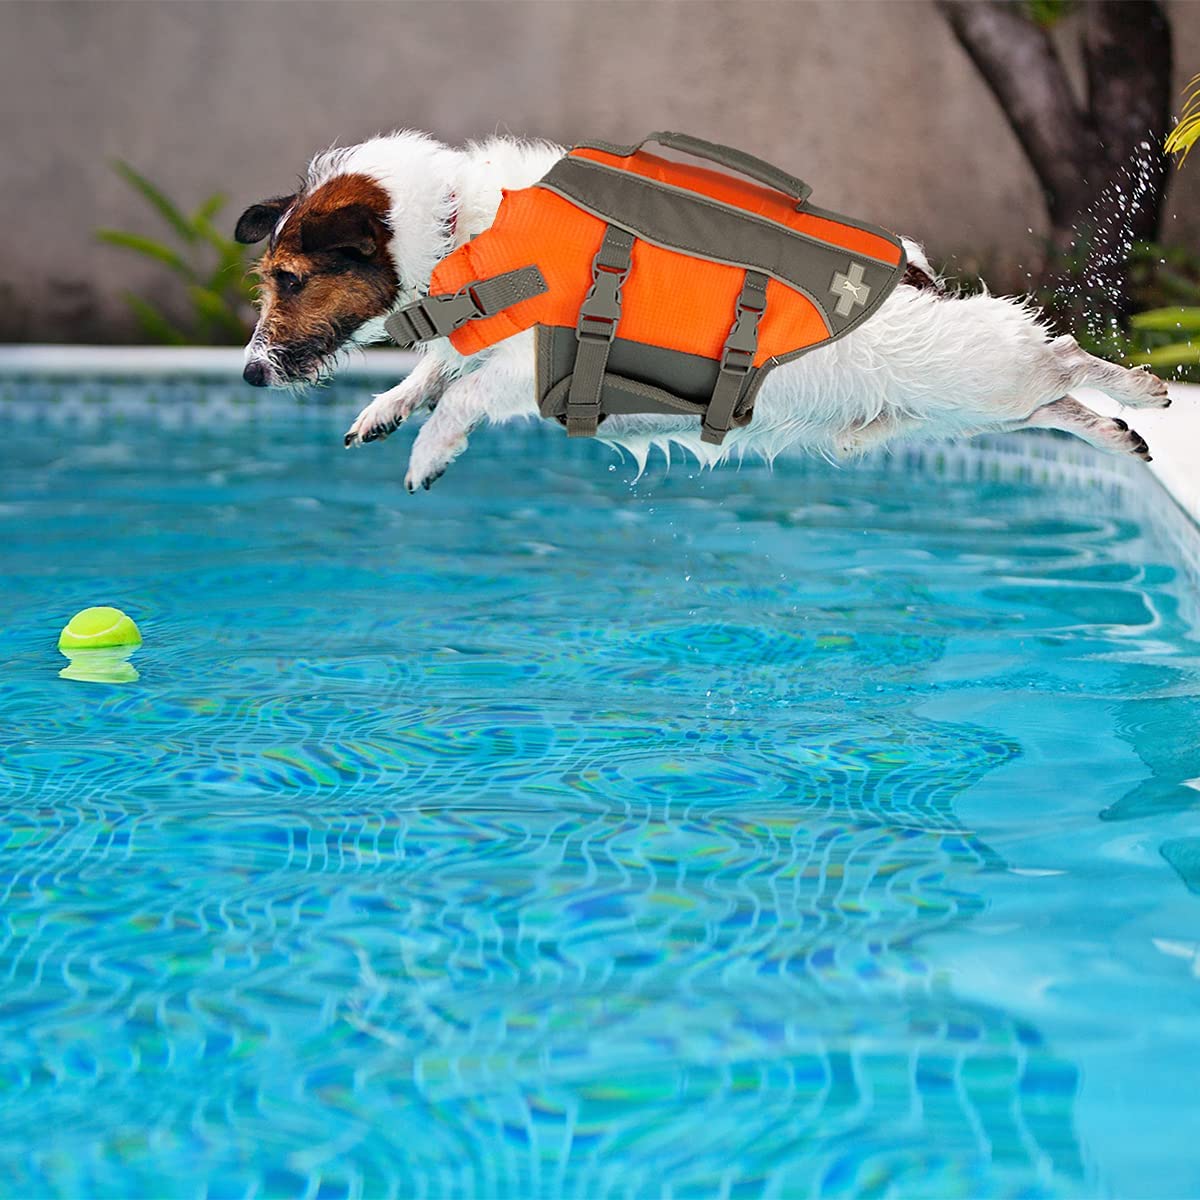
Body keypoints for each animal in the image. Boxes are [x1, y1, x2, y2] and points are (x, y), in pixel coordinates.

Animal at [236, 129, 1171, 489]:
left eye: (291, 279)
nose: (247, 374)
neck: (462, 230)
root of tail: (918, 279)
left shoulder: (532, 365)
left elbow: (461, 393)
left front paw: (428, 451)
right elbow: (431, 372)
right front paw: (385, 409)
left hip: (982, 373)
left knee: (1062, 359)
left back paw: (1143, 390)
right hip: (958, 413)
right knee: (1055, 405)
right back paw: (1118, 431)